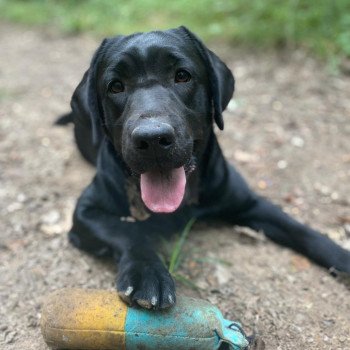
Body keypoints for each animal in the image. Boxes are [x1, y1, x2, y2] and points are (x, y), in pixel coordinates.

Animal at [58, 26, 348, 308]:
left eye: (182, 76)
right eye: (115, 86)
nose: (152, 139)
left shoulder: (249, 202)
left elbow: (300, 229)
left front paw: (341, 256)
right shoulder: (86, 211)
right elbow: (128, 232)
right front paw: (147, 273)